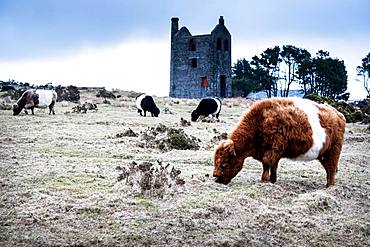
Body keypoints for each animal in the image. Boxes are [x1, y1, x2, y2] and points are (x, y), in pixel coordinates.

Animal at [214, 97, 346, 186]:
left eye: (223, 163)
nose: (216, 177)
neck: (260, 121)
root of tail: (338, 114)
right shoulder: (274, 153)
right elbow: (272, 167)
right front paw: (273, 180)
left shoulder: (273, 150)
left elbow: (267, 164)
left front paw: (265, 181)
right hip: (323, 155)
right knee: (329, 169)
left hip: (334, 151)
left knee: (331, 169)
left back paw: (329, 187)